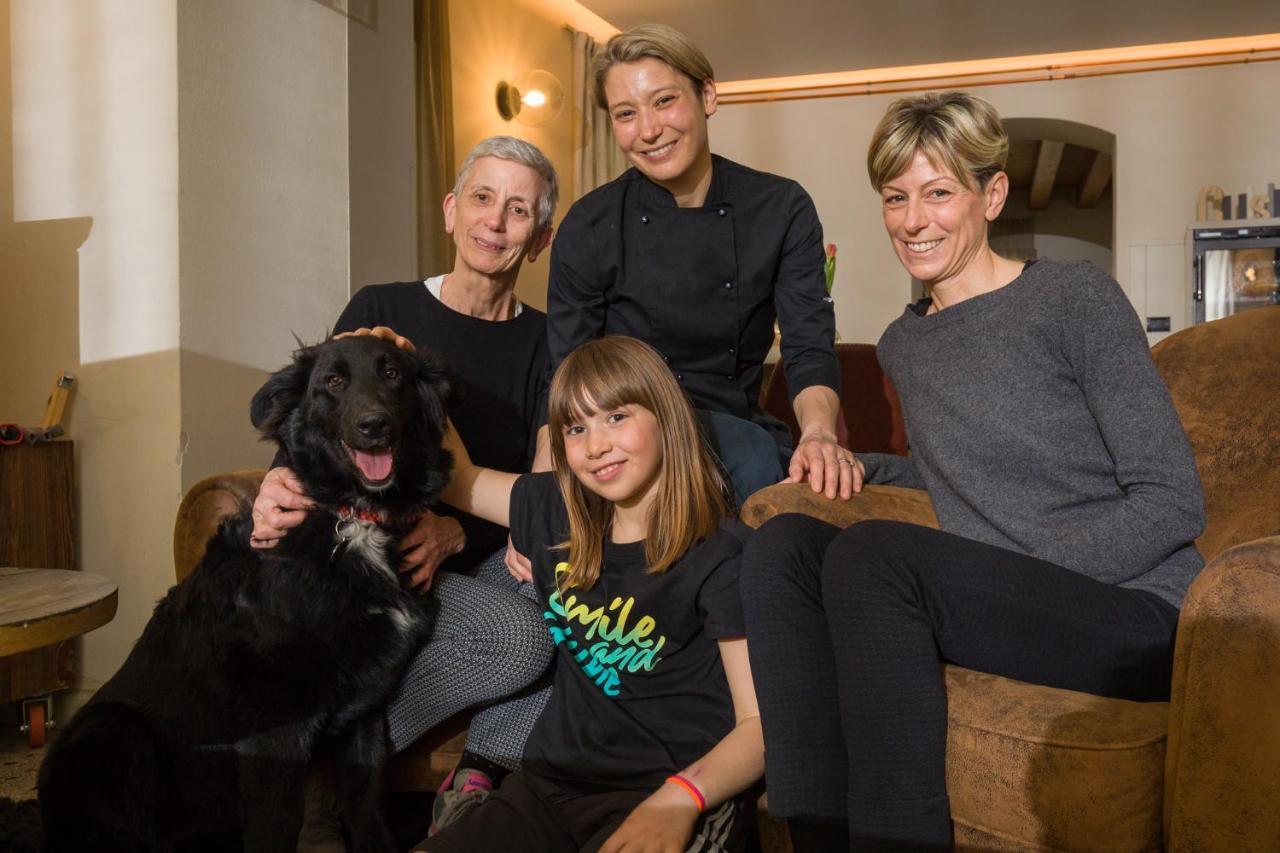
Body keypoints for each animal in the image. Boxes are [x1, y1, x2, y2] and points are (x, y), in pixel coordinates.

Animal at [38, 335, 455, 845]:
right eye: (334, 381)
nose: (374, 425)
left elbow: (367, 812)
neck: (353, 521)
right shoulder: (274, 728)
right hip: (114, 729)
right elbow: (276, 824)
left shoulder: (366, 714)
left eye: (393, 374)